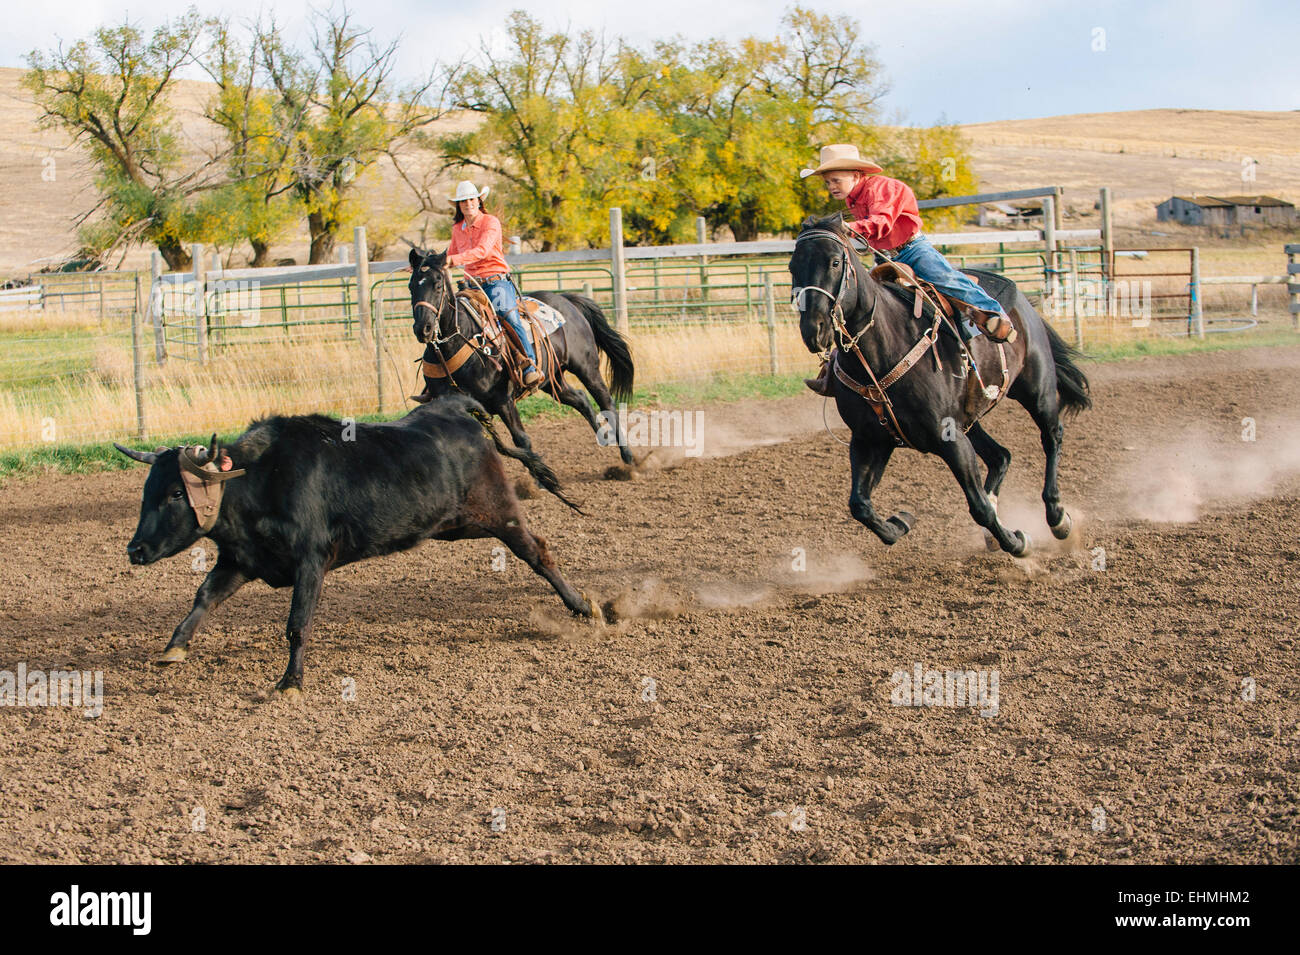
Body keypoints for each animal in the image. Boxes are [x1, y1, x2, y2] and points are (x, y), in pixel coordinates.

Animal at [403, 248, 631, 465]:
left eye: (438, 284)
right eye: (411, 286)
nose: (423, 329)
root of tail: (567, 300)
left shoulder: (503, 399)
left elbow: (521, 440)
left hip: (587, 367)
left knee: (606, 402)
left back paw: (628, 457)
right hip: (552, 378)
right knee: (581, 398)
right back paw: (603, 437)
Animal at [785, 216, 1092, 556]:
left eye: (835, 262)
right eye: (792, 267)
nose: (814, 330)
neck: (882, 350)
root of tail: (1023, 302)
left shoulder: (950, 437)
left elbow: (979, 508)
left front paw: (1017, 542)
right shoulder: (869, 440)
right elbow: (859, 505)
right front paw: (901, 522)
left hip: (1036, 388)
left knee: (1051, 437)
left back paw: (1058, 517)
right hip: (969, 419)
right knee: (1001, 456)